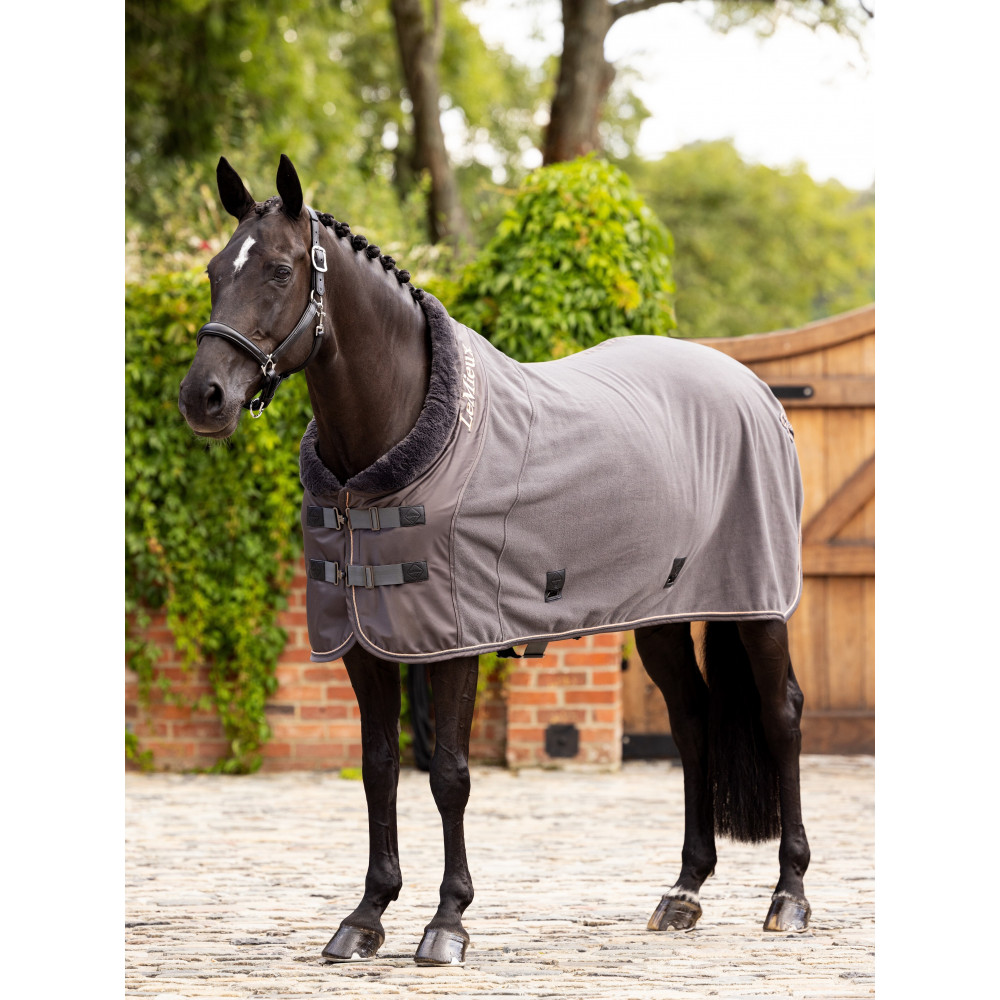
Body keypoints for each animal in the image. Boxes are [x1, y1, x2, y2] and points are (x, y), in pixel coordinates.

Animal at [178, 155, 811, 967]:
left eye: (281, 270)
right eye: (213, 270)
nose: (204, 397)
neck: (394, 444)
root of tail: (753, 387)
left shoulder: (455, 641)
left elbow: (450, 775)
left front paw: (447, 921)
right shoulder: (363, 640)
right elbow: (379, 768)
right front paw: (366, 915)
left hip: (759, 604)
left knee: (781, 715)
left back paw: (788, 895)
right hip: (664, 617)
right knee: (693, 720)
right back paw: (684, 892)